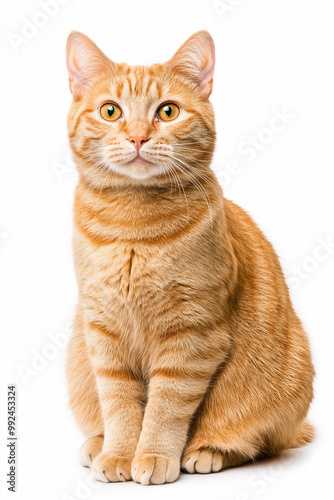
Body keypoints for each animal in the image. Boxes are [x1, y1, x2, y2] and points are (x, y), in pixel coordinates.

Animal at [66, 28, 316, 484]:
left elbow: (166, 406)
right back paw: (96, 445)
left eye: (167, 111)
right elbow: (118, 401)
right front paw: (119, 453)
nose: (138, 137)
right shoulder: (102, 330)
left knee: (256, 443)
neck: (133, 225)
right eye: (111, 111)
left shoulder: (193, 334)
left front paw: (153, 456)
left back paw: (206, 452)